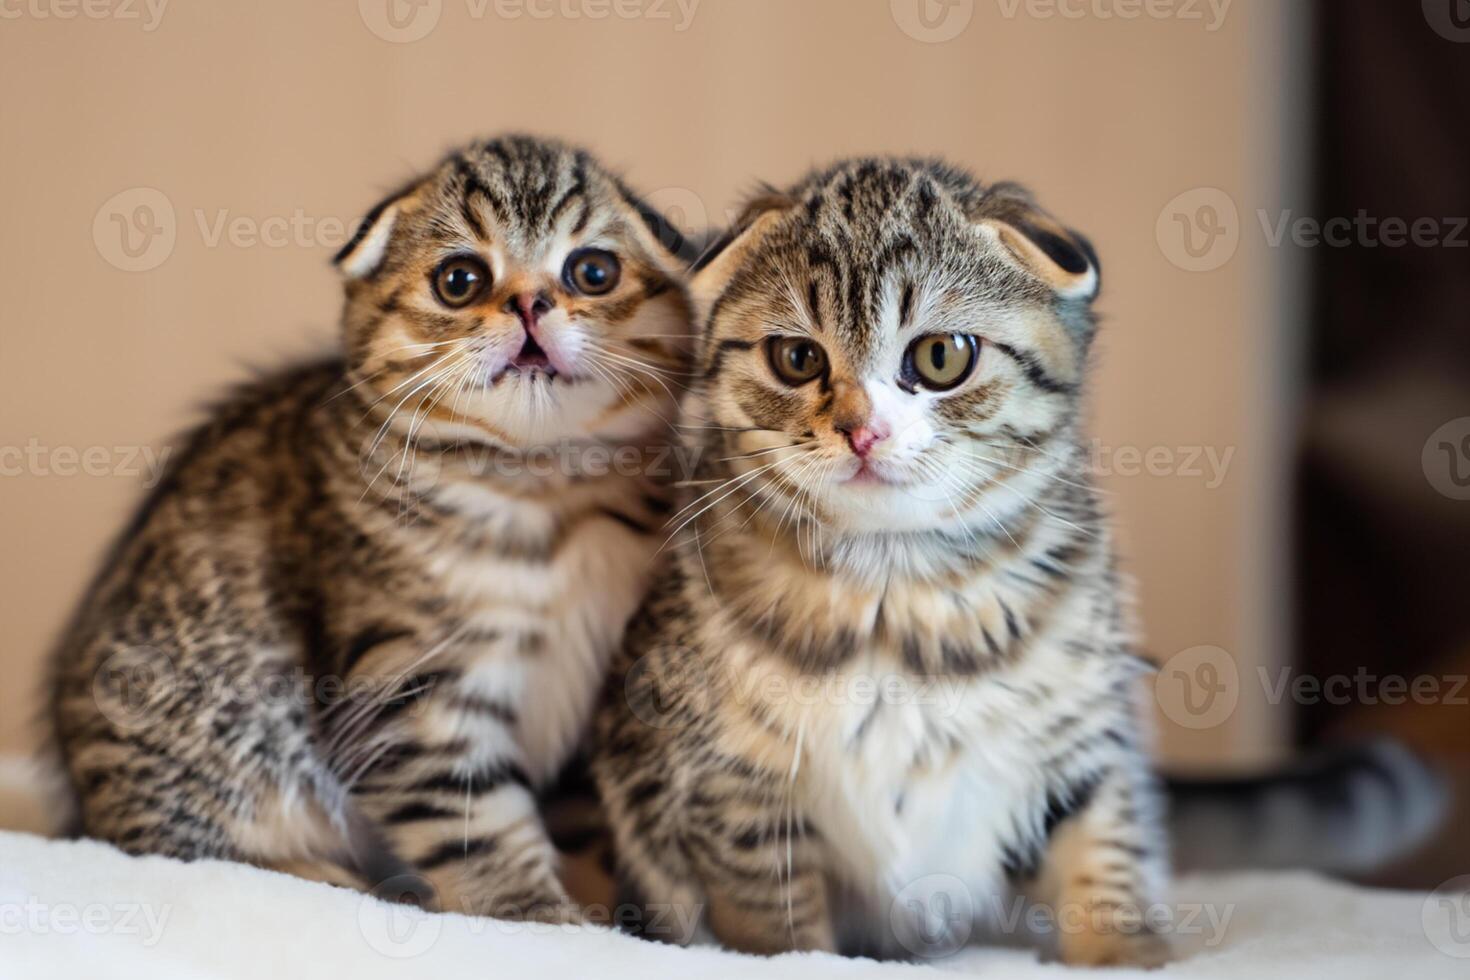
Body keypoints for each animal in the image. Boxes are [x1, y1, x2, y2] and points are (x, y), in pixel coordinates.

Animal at [45, 132, 687, 922]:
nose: (530, 302)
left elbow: (590, 826)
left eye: (593, 271)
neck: (544, 488)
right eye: (460, 280)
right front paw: (538, 915)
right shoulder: (408, 685)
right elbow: (474, 824)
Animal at [590, 159, 1176, 963]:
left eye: (941, 355)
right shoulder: (731, 788)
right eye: (798, 358)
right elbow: (775, 924)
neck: (896, 588)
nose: (862, 430)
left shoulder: (1083, 735)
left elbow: (1106, 855)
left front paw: (1123, 956)